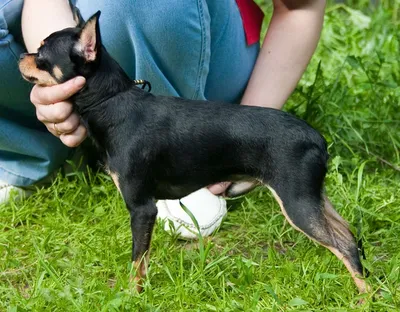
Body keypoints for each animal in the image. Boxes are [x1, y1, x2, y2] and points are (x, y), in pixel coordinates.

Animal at [20, 11, 368, 294]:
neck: (112, 100)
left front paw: (133, 296)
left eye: (42, 54)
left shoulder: (142, 209)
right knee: (348, 233)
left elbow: (137, 260)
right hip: (313, 198)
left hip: (297, 204)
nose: (23, 55)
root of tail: (317, 139)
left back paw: (366, 297)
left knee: (344, 245)